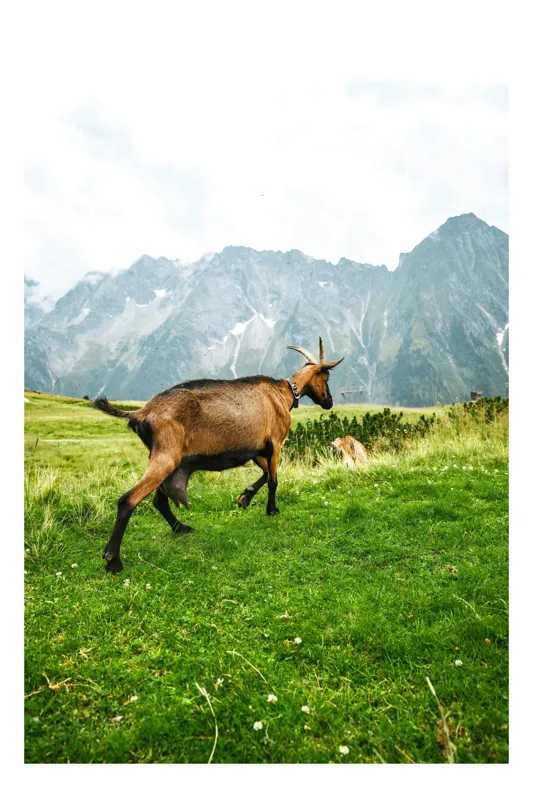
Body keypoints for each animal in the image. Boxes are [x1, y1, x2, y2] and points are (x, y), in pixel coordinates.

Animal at [92, 338, 344, 572]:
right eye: (326, 377)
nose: (329, 402)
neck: (283, 394)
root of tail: (142, 413)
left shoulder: (255, 448)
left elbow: (264, 474)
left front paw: (245, 497)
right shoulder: (275, 443)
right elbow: (273, 480)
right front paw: (271, 510)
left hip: (167, 459)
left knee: (158, 500)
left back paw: (181, 528)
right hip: (166, 456)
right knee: (128, 499)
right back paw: (113, 560)